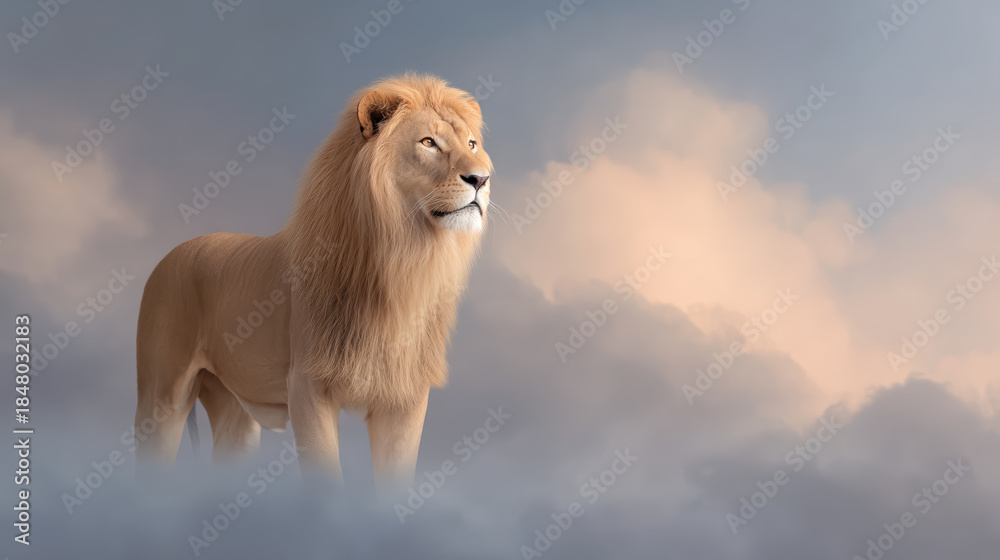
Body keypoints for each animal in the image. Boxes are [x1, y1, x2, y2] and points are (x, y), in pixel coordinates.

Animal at [134, 74, 492, 490]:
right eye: (429, 143)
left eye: (472, 144)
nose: (481, 179)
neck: (405, 259)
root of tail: (174, 251)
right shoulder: (307, 386)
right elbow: (326, 478)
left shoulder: (406, 395)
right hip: (161, 395)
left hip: (234, 411)